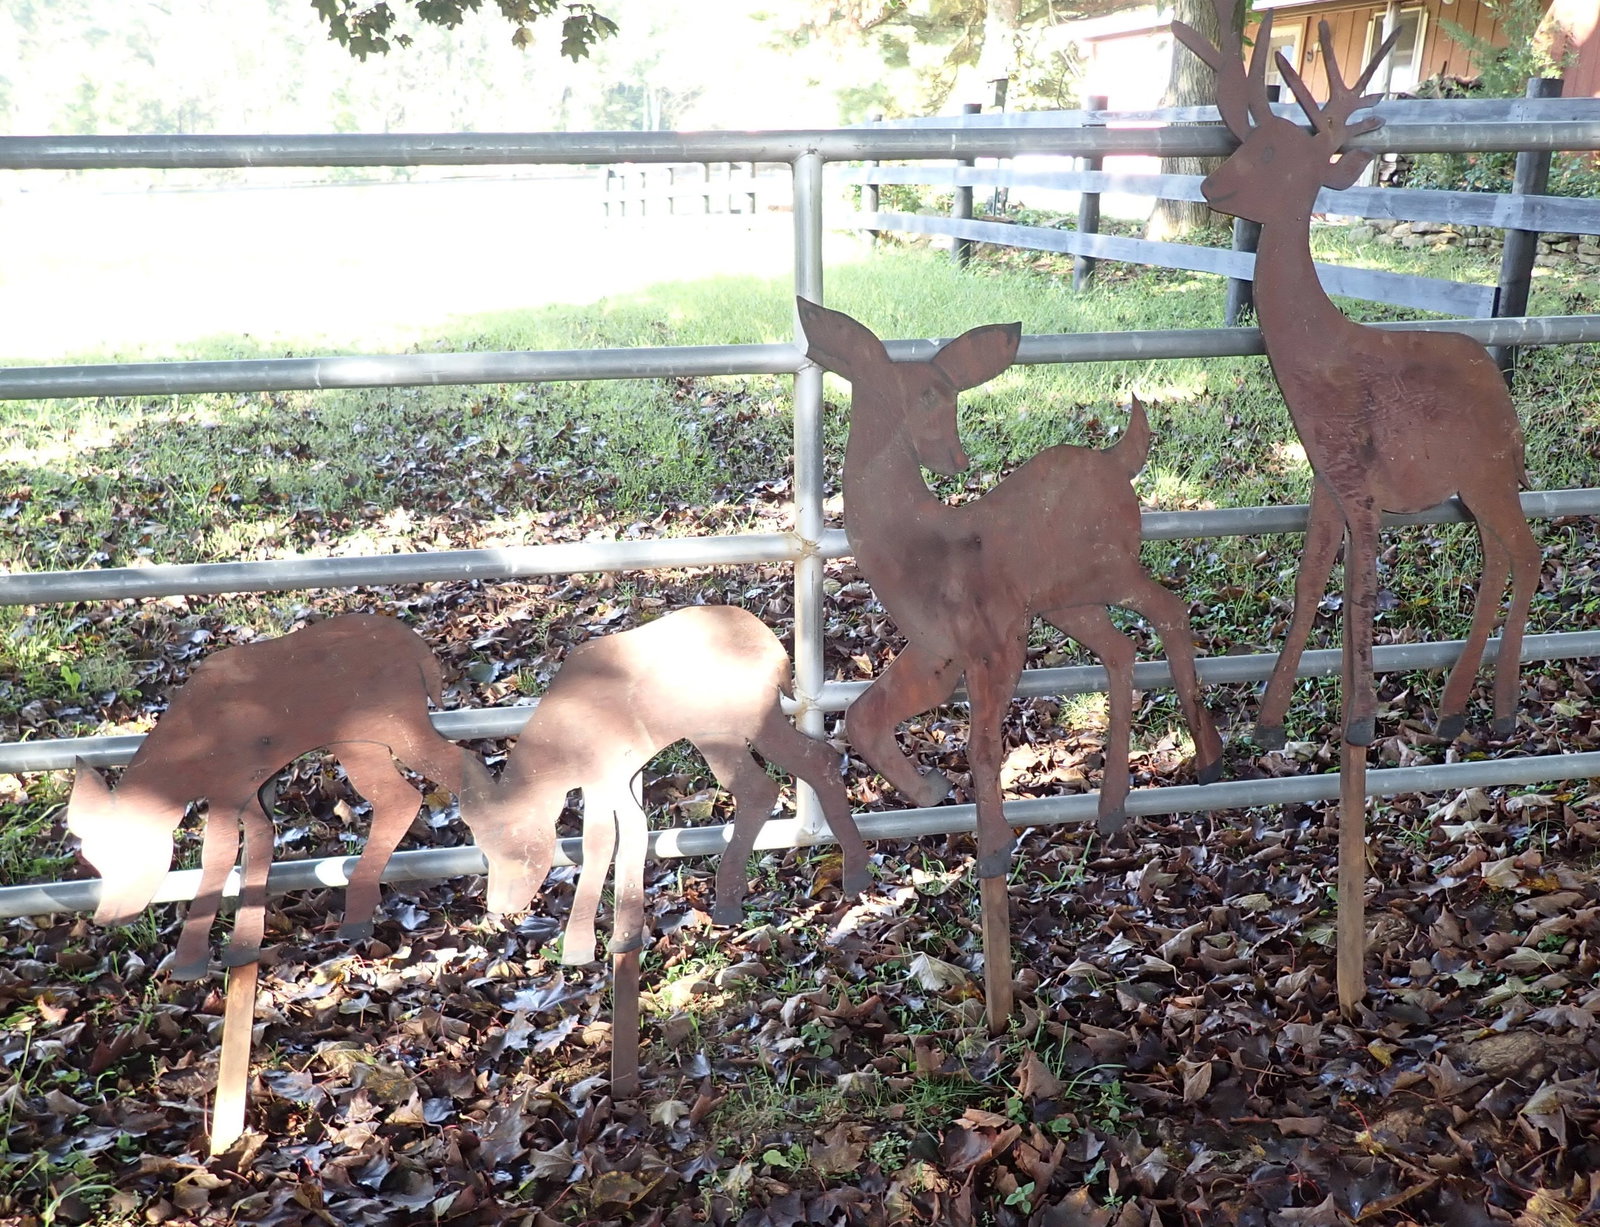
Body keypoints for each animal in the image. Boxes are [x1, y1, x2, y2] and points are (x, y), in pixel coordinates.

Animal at [66, 614, 471, 981]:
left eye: (133, 851)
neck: (189, 756)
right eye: (93, 859)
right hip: (360, 741)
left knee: (453, 767)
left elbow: (218, 856)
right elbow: (259, 845)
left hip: (393, 722)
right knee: (403, 796)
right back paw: (359, 913)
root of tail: (419, 648)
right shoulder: (250, 790)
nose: (106, 917)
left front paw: (190, 960)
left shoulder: (230, 786)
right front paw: (243, 946)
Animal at [799, 297, 1223, 1032]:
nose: (955, 456)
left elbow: (981, 744)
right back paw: (1113, 801)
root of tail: (1119, 459)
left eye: (947, 393)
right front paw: (927, 791)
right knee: (1122, 649)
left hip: (1103, 567)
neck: (919, 545)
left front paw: (993, 840)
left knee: (1169, 610)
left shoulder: (996, 637)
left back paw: (1206, 747)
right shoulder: (937, 652)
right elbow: (862, 715)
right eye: (925, 393)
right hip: (1068, 600)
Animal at [1172, 2, 1540, 752]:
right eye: (1249, 144)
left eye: (1275, 153)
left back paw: (1501, 707)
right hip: (1476, 483)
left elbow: (1362, 587)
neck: (1320, 360)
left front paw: (1362, 720)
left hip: (1490, 470)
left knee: (1528, 554)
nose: (1210, 186)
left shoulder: (1362, 480)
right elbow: (1310, 583)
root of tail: (1505, 398)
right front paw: (1269, 721)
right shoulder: (1325, 476)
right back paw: (1455, 707)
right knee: (1498, 559)